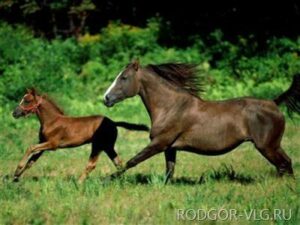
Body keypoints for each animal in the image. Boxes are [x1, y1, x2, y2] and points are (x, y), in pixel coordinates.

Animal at [12, 88, 149, 181]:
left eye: (27, 100)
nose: (14, 113)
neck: (52, 121)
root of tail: (113, 122)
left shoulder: (52, 144)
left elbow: (30, 148)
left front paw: (17, 169)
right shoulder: (43, 144)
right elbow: (31, 161)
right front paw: (16, 177)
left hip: (98, 145)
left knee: (92, 164)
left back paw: (78, 182)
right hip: (108, 146)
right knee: (118, 163)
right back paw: (121, 180)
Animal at [103, 60, 298, 183]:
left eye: (124, 77)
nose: (106, 98)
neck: (170, 107)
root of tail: (274, 103)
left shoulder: (159, 143)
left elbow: (131, 161)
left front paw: (106, 179)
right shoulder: (170, 148)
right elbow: (169, 172)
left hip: (267, 146)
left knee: (284, 164)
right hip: (273, 146)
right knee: (285, 164)